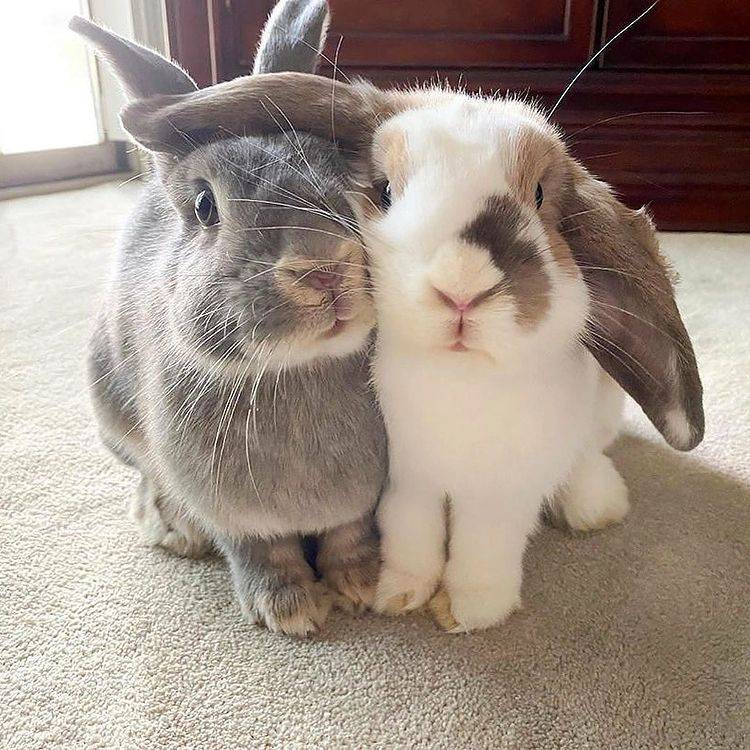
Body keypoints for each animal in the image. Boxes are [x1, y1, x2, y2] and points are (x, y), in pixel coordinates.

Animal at [71, 2, 387, 637]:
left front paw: (364, 585)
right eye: (204, 207)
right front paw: (290, 610)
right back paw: (171, 528)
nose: (324, 266)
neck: (299, 370)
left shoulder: (362, 501)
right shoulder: (233, 515)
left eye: (343, 174)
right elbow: (261, 553)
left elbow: (349, 533)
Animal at [107, 47, 704, 632]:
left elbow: (482, 549)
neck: (457, 373)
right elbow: (412, 535)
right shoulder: (405, 483)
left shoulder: (500, 494)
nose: (461, 287)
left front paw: (467, 611)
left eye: (538, 195)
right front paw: (398, 594)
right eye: (385, 191)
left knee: (585, 455)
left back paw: (594, 505)